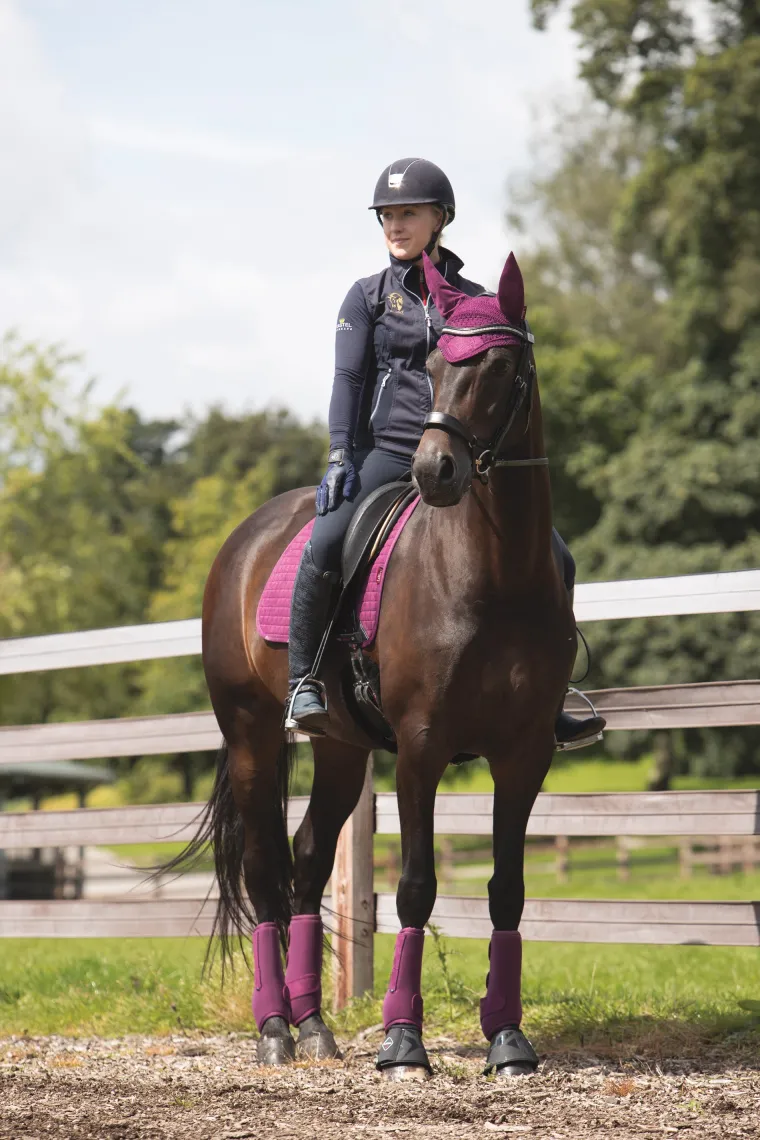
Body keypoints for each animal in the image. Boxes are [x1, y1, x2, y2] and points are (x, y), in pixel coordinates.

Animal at [180, 250, 576, 1079]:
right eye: (432, 362)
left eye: (500, 365)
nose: (436, 470)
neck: (492, 576)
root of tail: (245, 537)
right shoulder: (422, 748)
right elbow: (417, 887)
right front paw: (402, 1043)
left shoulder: (525, 753)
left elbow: (507, 889)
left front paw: (508, 1040)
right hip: (251, 736)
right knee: (264, 873)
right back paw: (275, 1031)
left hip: (339, 748)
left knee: (306, 860)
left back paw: (313, 1027)